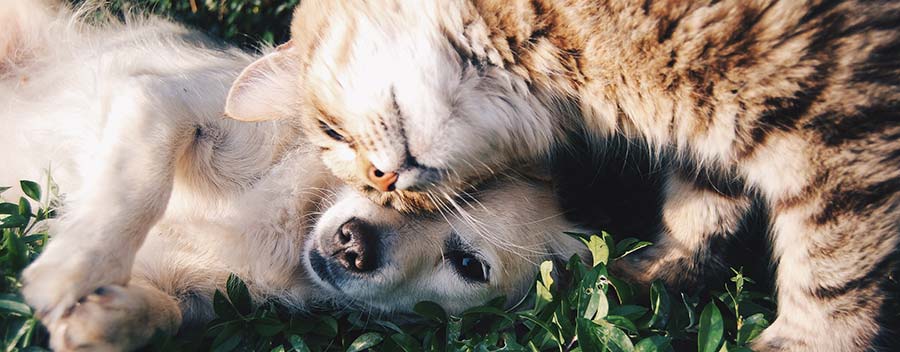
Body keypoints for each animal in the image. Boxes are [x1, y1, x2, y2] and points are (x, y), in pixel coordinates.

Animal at [1, 1, 592, 350]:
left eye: (468, 265)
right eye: (380, 178)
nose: (355, 244)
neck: (293, 225)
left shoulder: (191, 295)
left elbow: (165, 314)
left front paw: (101, 320)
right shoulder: (162, 101)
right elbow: (137, 189)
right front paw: (72, 268)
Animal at [225, 1, 900, 350]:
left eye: (331, 132)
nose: (382, 182)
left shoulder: (839, 116)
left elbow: (832, 270)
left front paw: (809, 343)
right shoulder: (716, 128)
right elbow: (701, 205)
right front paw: (653, 272)